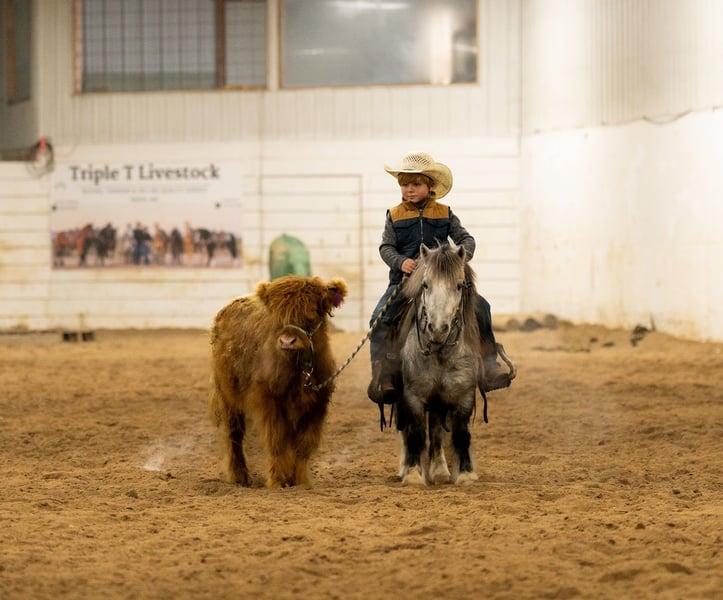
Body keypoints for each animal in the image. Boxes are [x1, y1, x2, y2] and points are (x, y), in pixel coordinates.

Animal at [208, 275, 348, 488]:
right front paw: (278, 480)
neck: (299, 369)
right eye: (278, 315)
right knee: (234, 435)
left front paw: (300, 480)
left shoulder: (317, 405)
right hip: (227, 396)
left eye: (311, 312)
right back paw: (239, 477)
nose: (287, 342)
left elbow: (303, 444)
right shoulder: (269, 401)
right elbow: (277, 440)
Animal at [395, 242, 483, 486]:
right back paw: (405, 468)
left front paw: (465, 474)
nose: (437, 329)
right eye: (425, 284)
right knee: (407, 430)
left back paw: (440, 470)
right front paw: (413, 474)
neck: (439, 351)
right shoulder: (412, 395)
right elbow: (415, 432)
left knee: (436, 430)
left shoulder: (463, 395)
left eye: (459, 285)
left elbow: (460, 433)